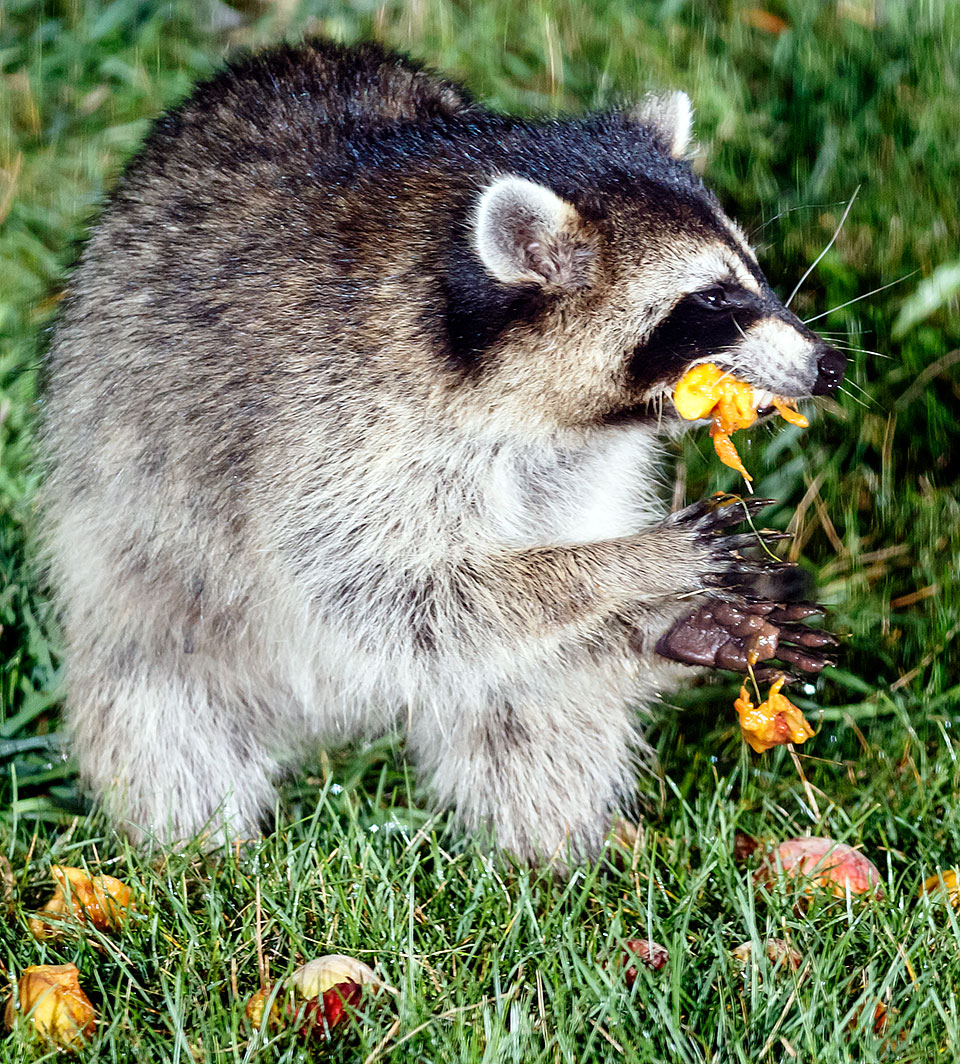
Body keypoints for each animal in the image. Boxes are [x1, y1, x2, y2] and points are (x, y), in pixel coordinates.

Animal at [39, 39, 851, 863]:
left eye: (754, 272)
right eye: (713, 299)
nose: (828, 364)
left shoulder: (574, 464)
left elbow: (502, 629)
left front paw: (662, 617)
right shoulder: (335, 420)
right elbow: (389, 591)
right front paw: (631, 564)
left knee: (530, 704)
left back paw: (552, 853)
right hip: (142, 572)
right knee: (161, 710)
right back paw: (198, 846)